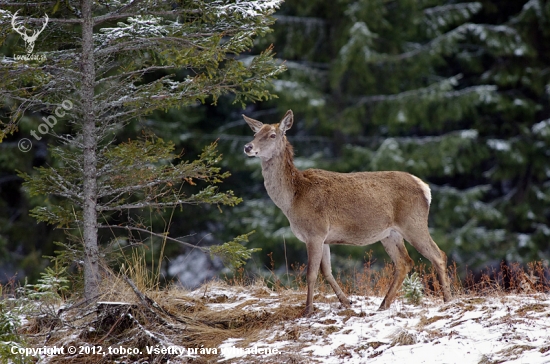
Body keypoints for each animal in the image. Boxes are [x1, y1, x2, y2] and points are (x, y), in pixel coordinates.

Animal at [245, 110, 452, 316]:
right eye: (255, 133)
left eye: (272, 135)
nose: (248, 146)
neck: (292, 199)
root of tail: (425, 188)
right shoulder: (324, 238)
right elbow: (327, 272)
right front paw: (346, 302)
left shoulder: (315, 232)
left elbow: (311, 274)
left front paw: (308, 310)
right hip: (389, 233)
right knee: (404, 262)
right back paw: (383, 305)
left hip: (413, 223)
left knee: (438, 255)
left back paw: (447, 300)